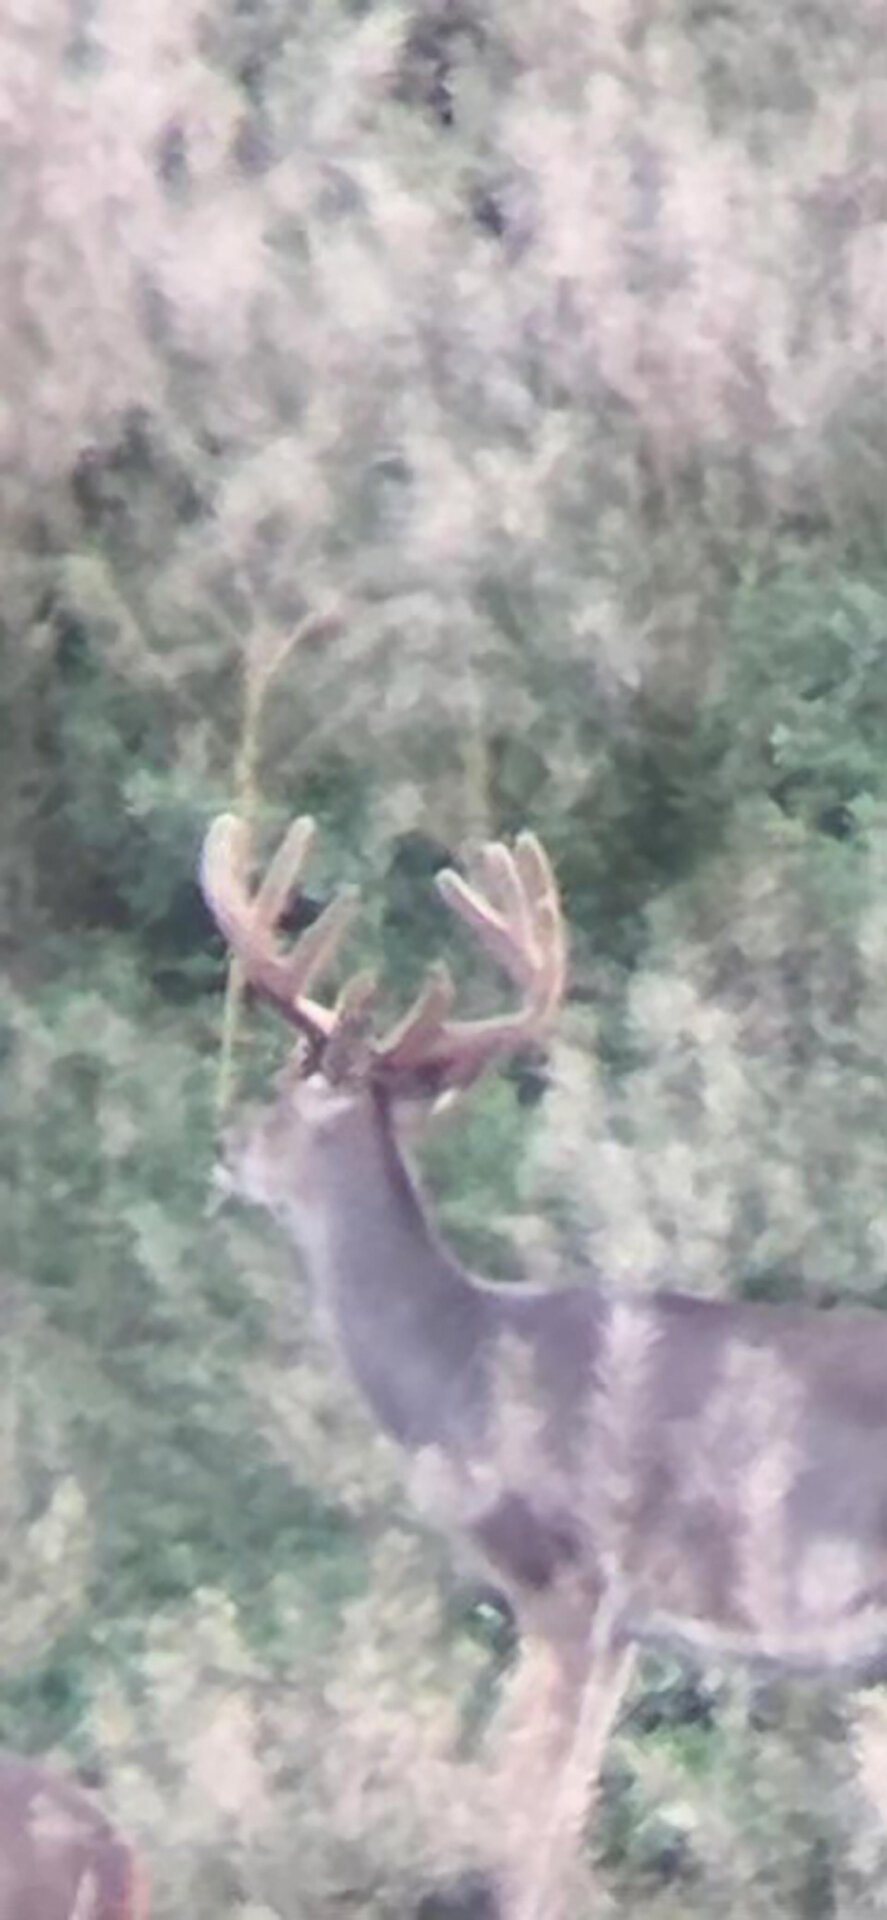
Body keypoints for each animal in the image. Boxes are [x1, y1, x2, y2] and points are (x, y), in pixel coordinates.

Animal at [201, 809, 887, 1920]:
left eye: (284, 1088)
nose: (223, 1145)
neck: (462, 1364)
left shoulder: (560, 1579)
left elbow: (521, 1833)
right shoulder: (625, 1627)